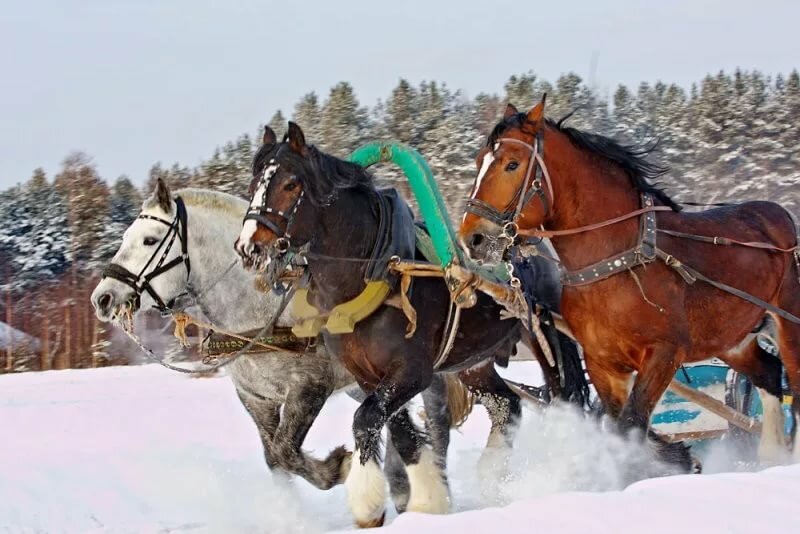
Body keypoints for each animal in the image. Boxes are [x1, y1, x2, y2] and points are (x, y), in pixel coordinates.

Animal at [89, 180, 466, 510]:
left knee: (438, 425)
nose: (102, 298)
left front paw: (336, 467)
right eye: (125, 237)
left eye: (149, 240)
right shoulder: (256, 398)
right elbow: (274, 458)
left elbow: (285, 449)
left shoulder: (308, 387)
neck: (258, 307)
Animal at [233, 123, 592, 527]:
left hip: (546, 336)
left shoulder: (412, 372)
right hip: (473, 361)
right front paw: (427, 499)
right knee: (508, 405)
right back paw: (492, 475)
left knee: (566, 396)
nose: (249, 246)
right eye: (253, 184)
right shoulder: (369, 377)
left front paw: (369, 501)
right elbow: (400, 432)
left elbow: (365, 418)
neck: (375, 272)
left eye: (291, 183)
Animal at [460, 98, 798, 471]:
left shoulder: (664, 352)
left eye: (512, 164)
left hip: (787, 321)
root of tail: (778, 215)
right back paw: (771, 456)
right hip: (734, 338)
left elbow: (632, 426)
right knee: (769, 374)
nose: (473, 238)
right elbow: (619, 428)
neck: (618, 262)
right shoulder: (603, 363)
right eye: (479, 161)